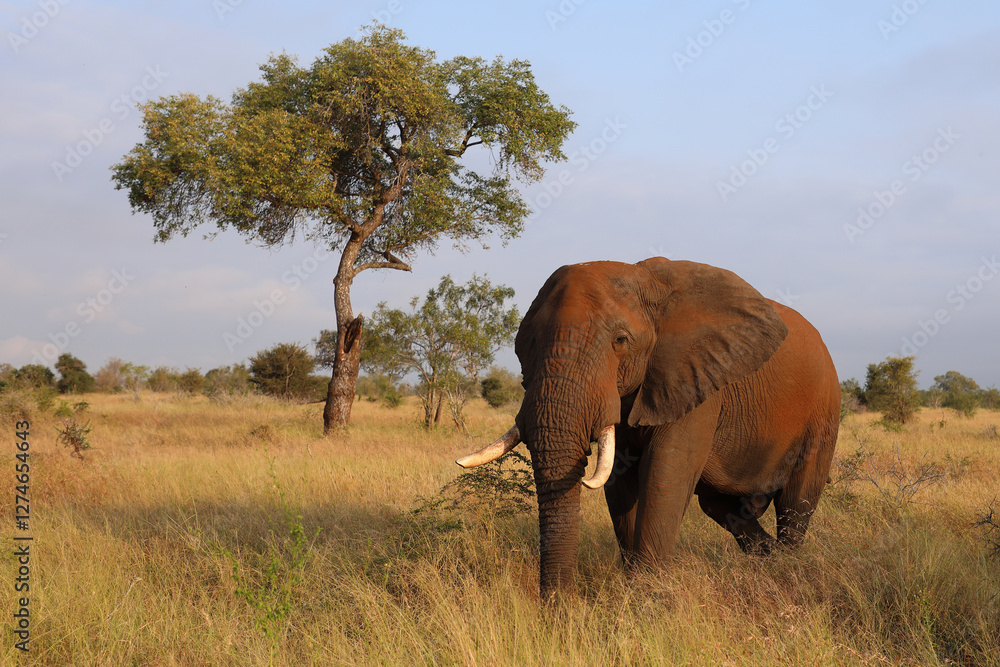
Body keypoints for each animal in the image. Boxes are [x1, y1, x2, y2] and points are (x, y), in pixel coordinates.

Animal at [456, 257, 840, 599]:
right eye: (529, 343)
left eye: (620, 340)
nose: (558, 610)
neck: (644, 280)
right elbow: (620, 481)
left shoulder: (696, 380)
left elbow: (665, 475)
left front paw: (645, 600)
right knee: (721, 507)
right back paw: (769, 560)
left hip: (823, 414)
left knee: (795, 504)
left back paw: (786, 568)